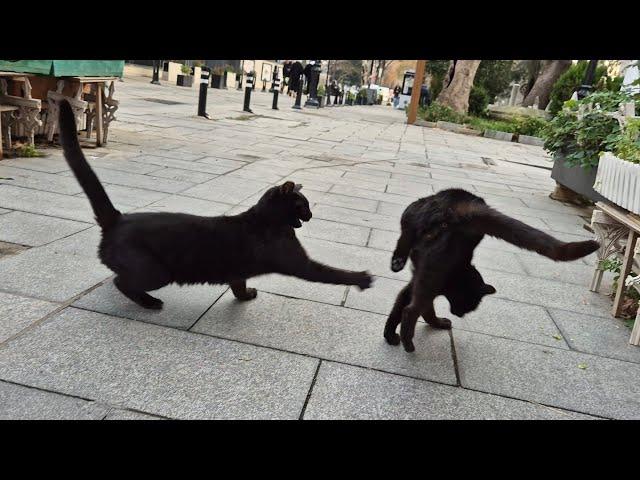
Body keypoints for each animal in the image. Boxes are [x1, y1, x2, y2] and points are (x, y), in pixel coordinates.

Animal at [58, 99, 376, 310]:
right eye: (303, 205)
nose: (311, 214)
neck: (265, 220)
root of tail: (118, 219)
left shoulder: (238, 273)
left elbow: (238, 287)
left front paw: (246, 297)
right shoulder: (300, 264)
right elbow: (332, 273)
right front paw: (362, 278)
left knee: (119, 277)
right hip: (157, 272)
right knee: (122, 282)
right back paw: (151, 303)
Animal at [384, 188, 600, 352]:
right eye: (470, 305)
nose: (459, 315)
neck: (461, 272)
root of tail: (459, 210)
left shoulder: (414, 283)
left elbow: (398, 305)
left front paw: (389, 335)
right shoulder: (431, 284)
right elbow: (424, 310)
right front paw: (437, 323)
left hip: (411, 215)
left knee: (404, 239)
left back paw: (397, 262)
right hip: (432, 269)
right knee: (411, 310)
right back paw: (408, 342)